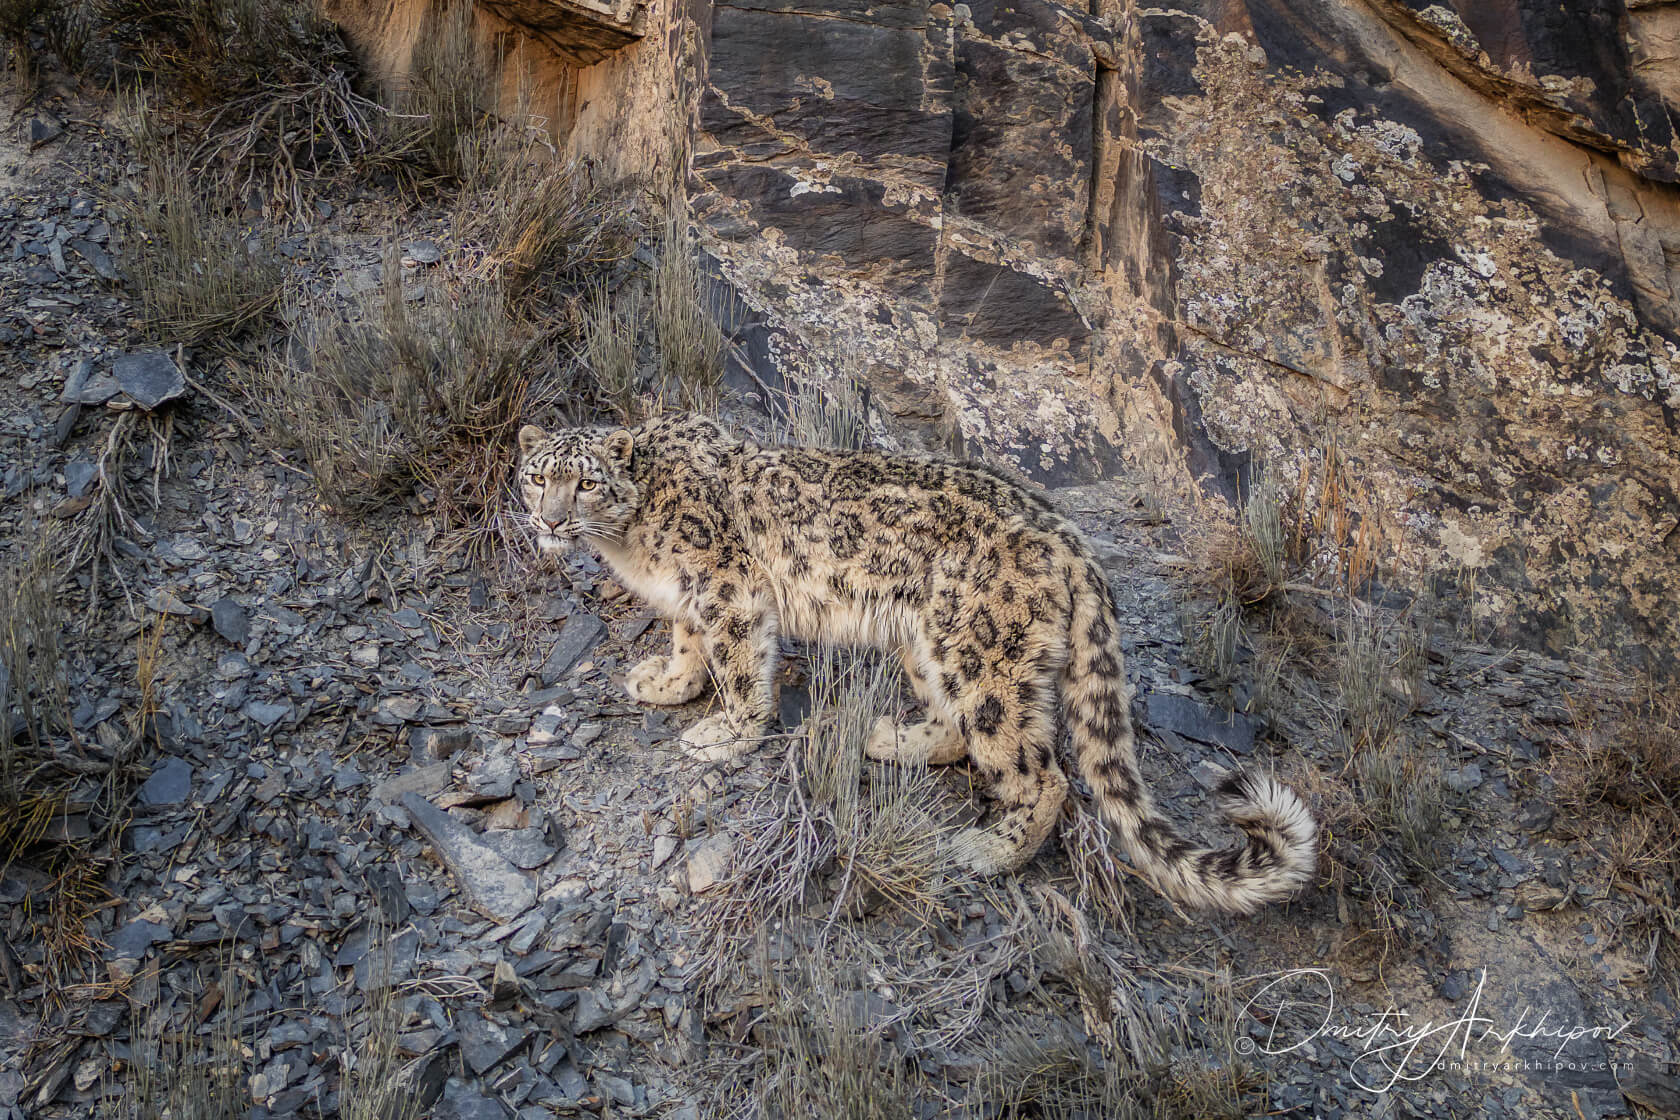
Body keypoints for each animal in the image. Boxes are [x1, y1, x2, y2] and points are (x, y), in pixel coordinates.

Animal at [516, 413, 1317, 913]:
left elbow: (742, 663)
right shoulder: (689, 599)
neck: (630, 544)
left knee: (1040, 770)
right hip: (929, 646)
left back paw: (988, 850)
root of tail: (1072, 541)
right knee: (961, 731)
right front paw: (668, 682)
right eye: (535, 477)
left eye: (586, 482)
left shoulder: (728, 587)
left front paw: (725, 733)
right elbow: (689, 644)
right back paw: (887, 737)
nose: (548, 520)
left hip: (984, 656)